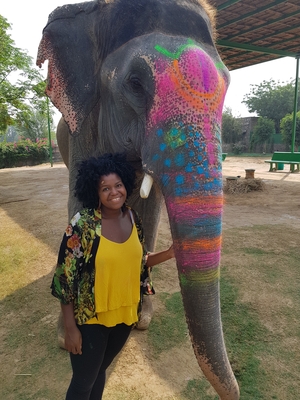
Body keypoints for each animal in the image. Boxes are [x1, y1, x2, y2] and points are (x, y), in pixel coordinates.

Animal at [37, 1, 239, 398]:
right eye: (134, 83)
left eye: (228, 86)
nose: (237, 388)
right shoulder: (83, 129)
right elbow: (78, 201)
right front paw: (65, 337)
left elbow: (150, 210)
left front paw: (141, 318)